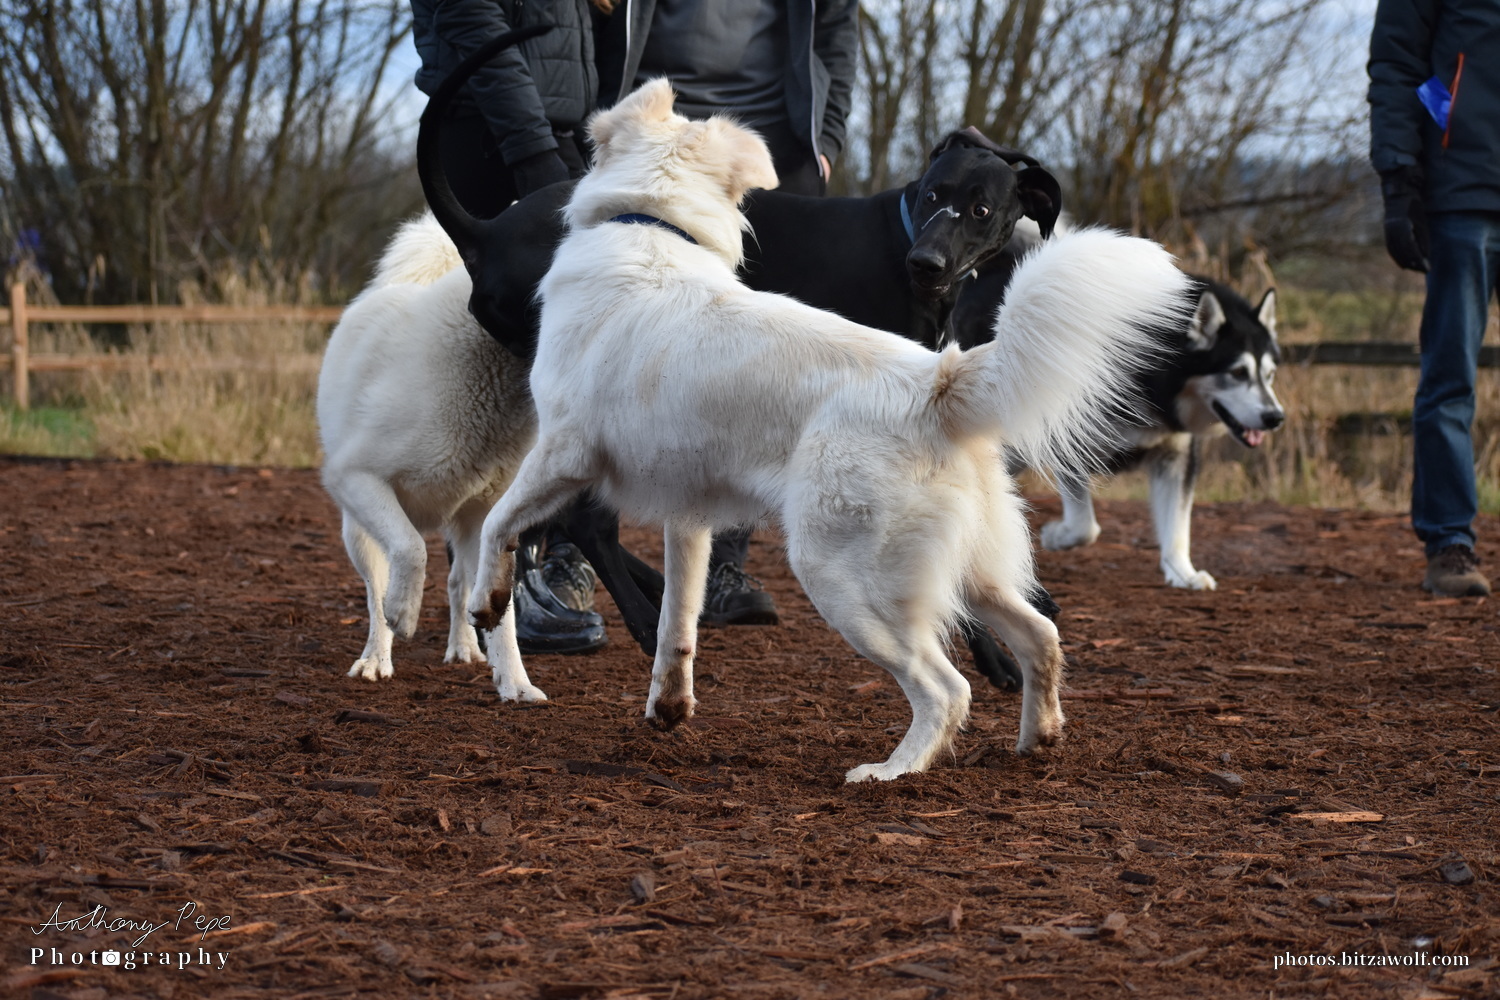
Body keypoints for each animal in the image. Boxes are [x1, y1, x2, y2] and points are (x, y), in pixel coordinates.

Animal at [315, 213, 545, 700]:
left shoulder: (491, 516)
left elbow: (501, 612)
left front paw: (514, 683)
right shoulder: (356, 477)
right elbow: (410, 551)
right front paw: (402, 614)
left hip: (464, 523)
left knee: (459, 584)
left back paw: (463, 648)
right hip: (358, 533)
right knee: (376, 590)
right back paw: (376, 657)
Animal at [416, 33, 1061, 689]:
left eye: (981, 210)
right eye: (933, 195)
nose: (925, 263)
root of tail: (486, 231)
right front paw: (995, 656)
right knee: (583, 524)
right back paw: (639, 617)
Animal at [465, 80, 1191, 781]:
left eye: (980, 209)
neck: (649, 227)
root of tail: (939, 383)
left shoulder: (561, 455)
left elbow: (496, 527)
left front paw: (486, 604)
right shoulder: (689, 516)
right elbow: (678, 621)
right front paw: (668, 705)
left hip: (841, 578)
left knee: (946, 688)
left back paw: (893, 771)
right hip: (974, 574)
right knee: (1041, 638)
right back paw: (1036, 738)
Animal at [950, 224, 1285, 590]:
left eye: (1269, 374)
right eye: (1237, 372)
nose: (1275, 417)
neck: (1153, 375)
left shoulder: (1175, 456)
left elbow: (1176, 527)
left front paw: (1182, 572)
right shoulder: (1067, 442)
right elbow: (1085, 526)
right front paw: (1057, 536)